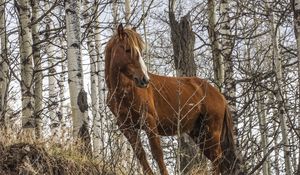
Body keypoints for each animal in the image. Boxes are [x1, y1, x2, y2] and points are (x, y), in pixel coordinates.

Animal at [105, 23, 241, 174]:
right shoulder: (126, 127)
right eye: (127, 50)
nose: (144, 80)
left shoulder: (149, 121)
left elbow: (157, 154)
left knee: (217, 159)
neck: (124, 91)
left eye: (139, 50)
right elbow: (141, 154)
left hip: (212, 132)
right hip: (199, 134)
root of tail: (219, 96)